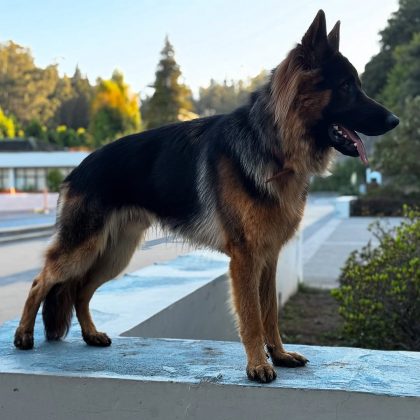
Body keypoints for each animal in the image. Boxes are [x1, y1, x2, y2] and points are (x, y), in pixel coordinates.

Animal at [14, 10, 398, 384]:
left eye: (358, 85)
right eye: (346, 87)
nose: (395, 120)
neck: (273, 144)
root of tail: (78, 168)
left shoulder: (268, 256)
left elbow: (270, 312)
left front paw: (279, 354)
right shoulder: (245, 258)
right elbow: (252, 316)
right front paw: (258, 364)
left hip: (114, 254)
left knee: (80, 290)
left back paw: (90, 334)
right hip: (83, 248)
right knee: (40, 281)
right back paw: (23, 336)